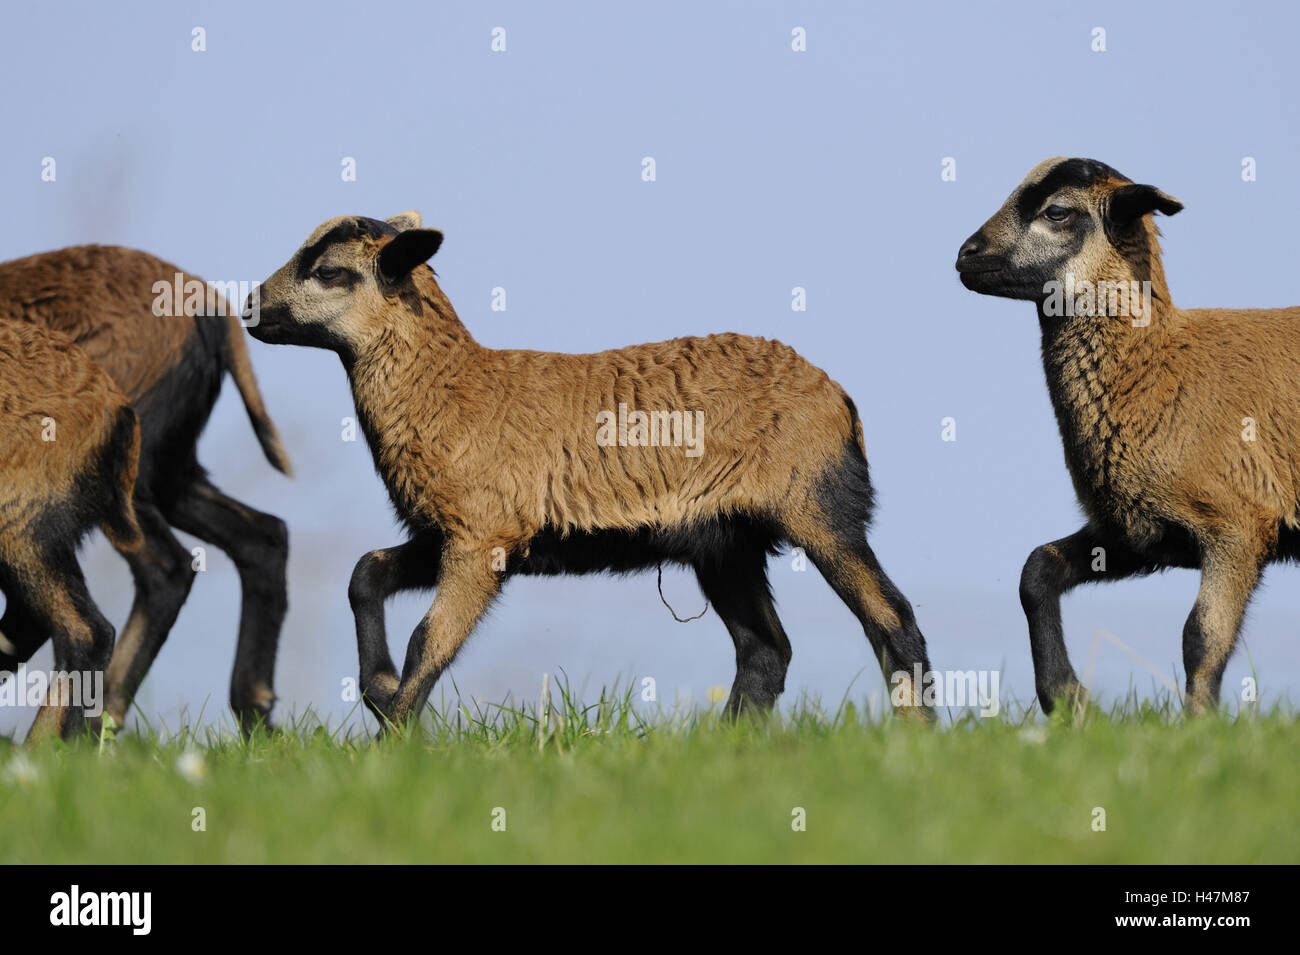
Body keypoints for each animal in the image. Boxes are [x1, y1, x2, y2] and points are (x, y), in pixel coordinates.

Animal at [248, 211, 933, 727]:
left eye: (328, 272)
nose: (250, 307)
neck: (453, 388)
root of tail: (840, 398)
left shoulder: (482, 534)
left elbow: (430, 639)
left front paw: (393, 737)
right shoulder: (450, 531)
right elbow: (365, 573)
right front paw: (381, 689)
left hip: (816, 502)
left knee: (892, 618)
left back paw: (916, 741)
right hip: (725, 539)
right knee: (765, 651)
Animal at [956, 155, 1297, 715]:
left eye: (1057, 212)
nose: (966, 255)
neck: (1156, 373)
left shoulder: (1239, 524)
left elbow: (1201, 637)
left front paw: (1199, 726)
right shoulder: (1135, 531)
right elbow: (1035, 572)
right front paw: (1067, 701)